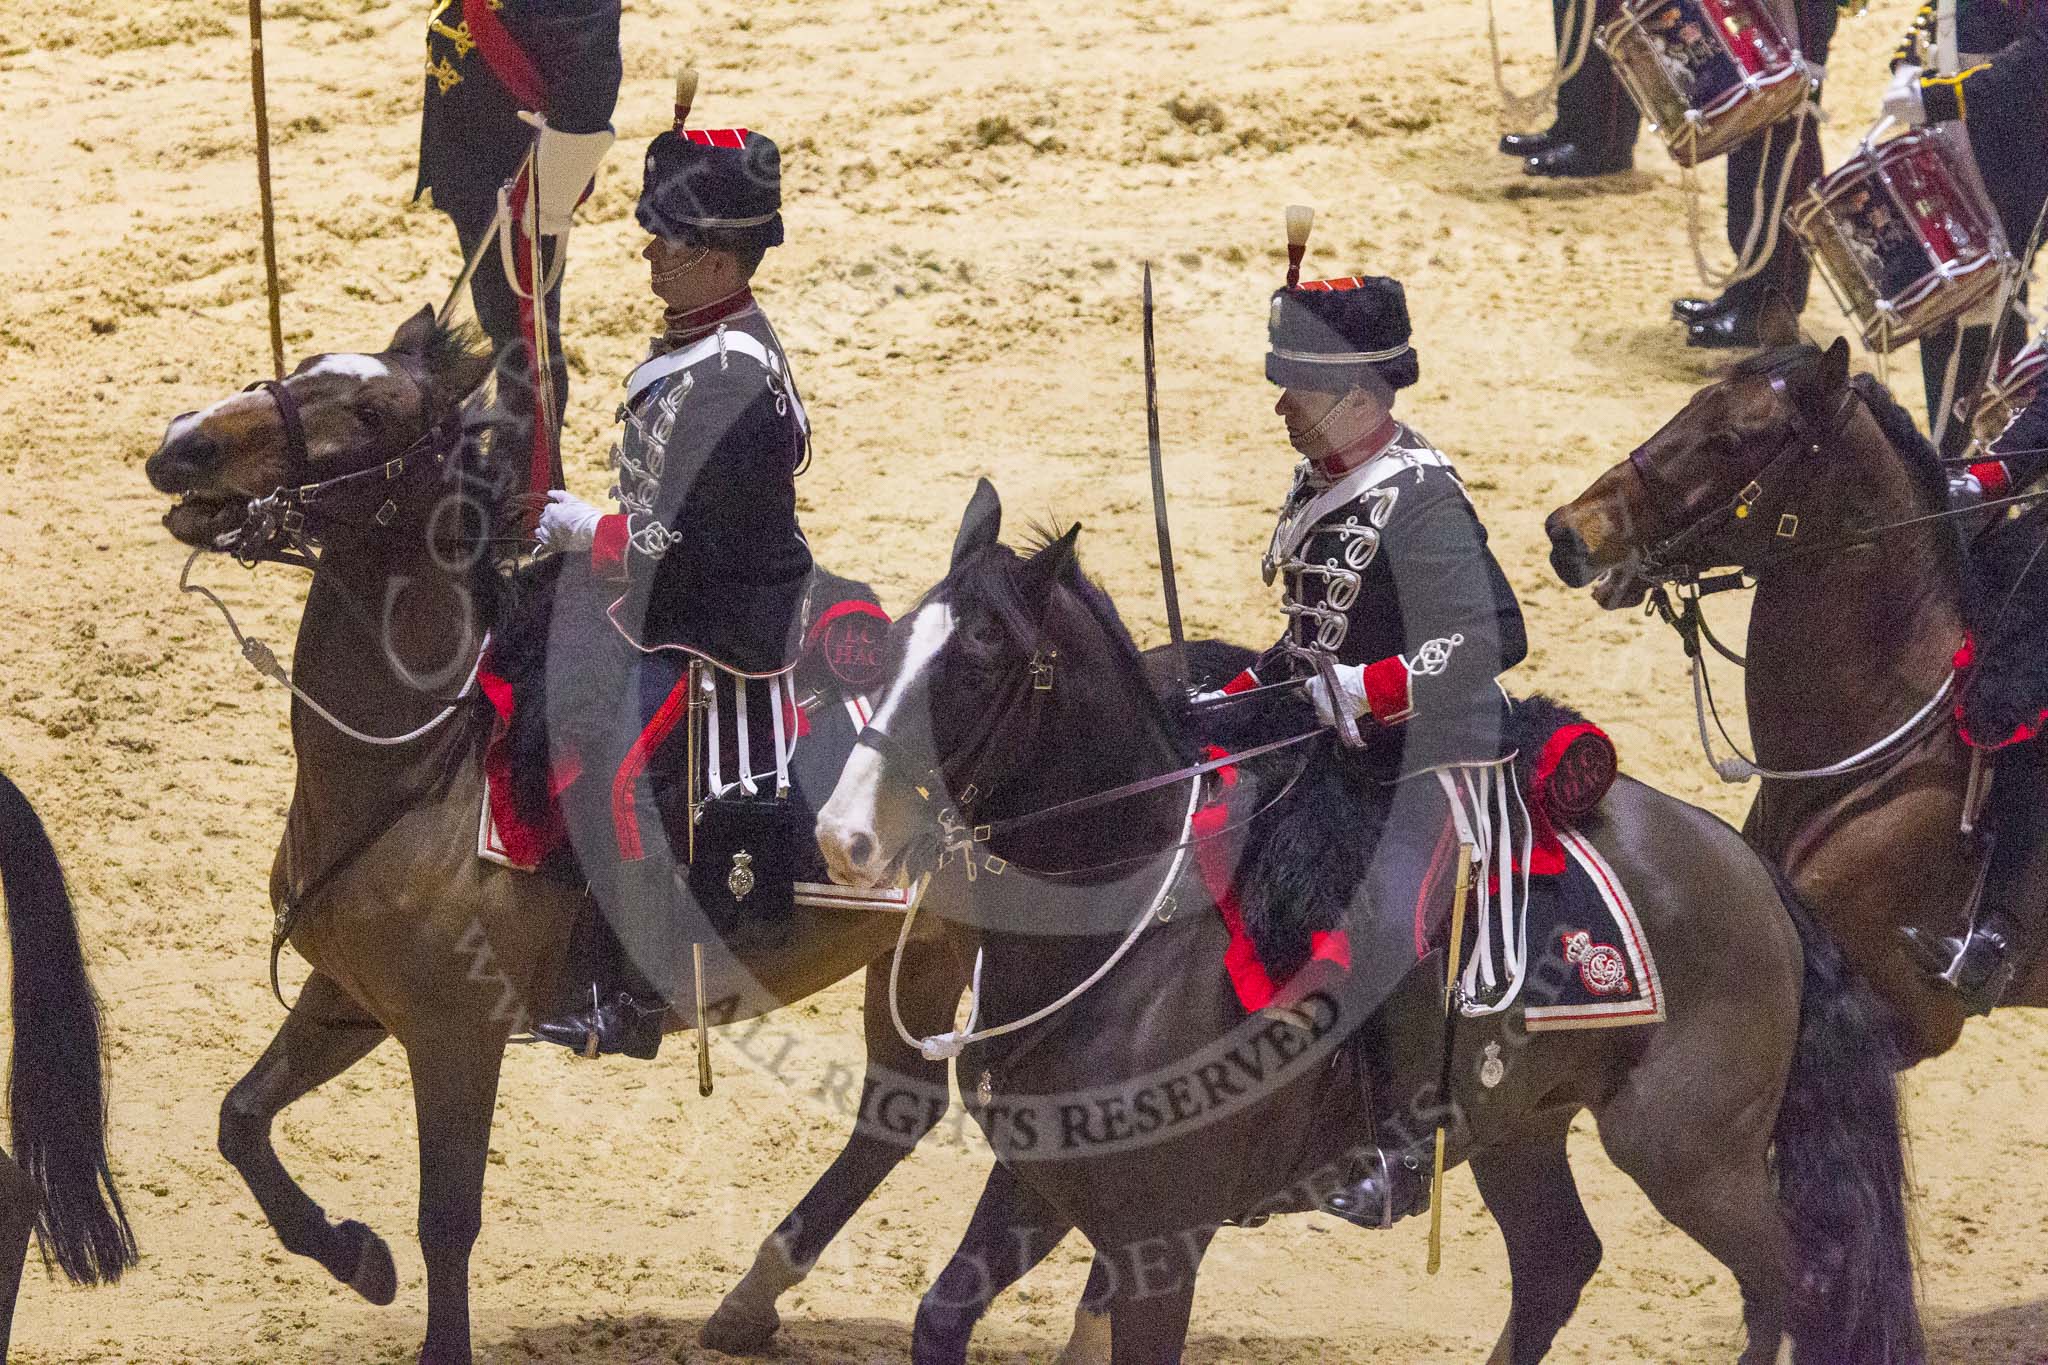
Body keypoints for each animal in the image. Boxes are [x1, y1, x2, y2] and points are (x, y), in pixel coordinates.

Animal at [140, 305, 1087, 1364]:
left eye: (375, 411)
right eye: (302, 363)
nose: (185, 442)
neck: (422, 761)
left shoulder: (456, 1035)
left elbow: (447, 1219)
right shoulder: (349, 996)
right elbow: (241, 1120)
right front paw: (356, 1256)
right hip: (919, 953)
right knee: (900, 1109)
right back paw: (749, 1302)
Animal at [813, 479, 1924, 1364]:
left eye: (979, 658)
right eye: (896, 642)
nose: (842, 833)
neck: (1131, 931)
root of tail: (1751, 872)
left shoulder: (1158, 1243)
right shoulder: (1039, 1187)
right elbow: (940, 1318)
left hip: (1690, 1154)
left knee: (1799, 1286)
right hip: (1520, 1124)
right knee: (1562, 1264)